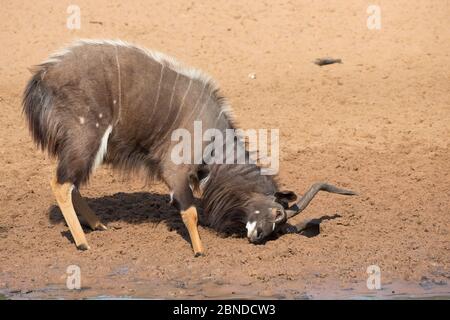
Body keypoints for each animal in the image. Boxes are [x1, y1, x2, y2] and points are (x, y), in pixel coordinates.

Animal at [23, 39, 356, 255]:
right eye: (276, 215)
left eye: (278, 229)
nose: (258, 236)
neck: (214, 139)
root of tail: (43, 76)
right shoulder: (176, 171)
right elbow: (191, 211)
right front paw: (200, 251)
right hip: (87, 138)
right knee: (61, 184)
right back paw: (83, 242)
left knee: (72, 183)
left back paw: (98, 225)